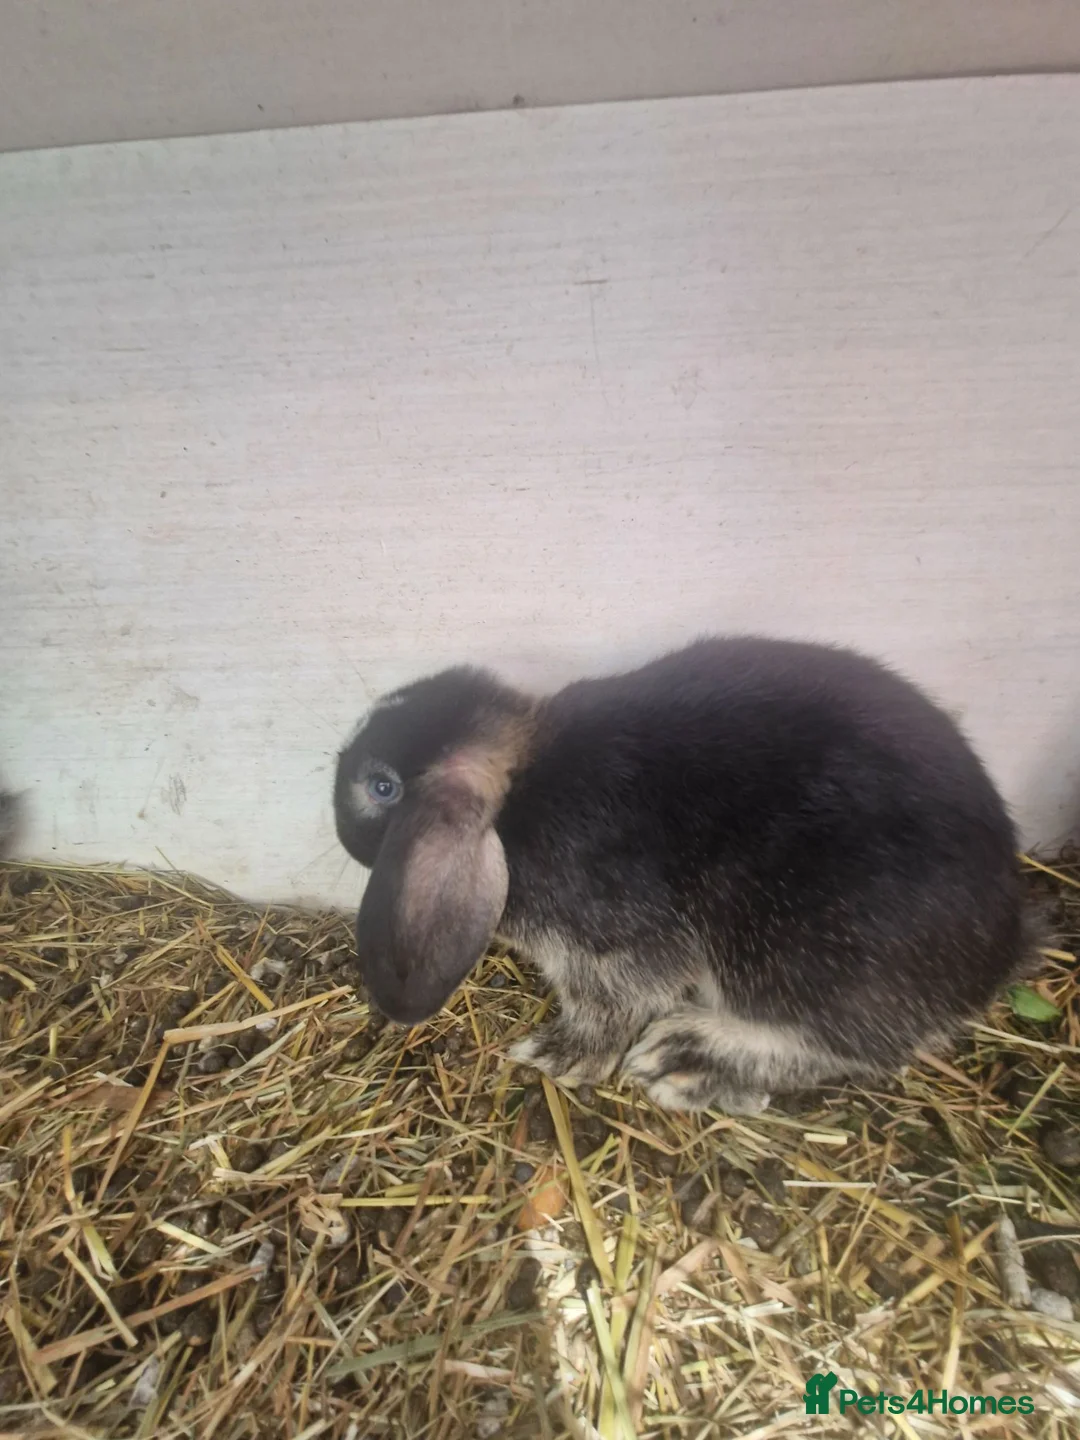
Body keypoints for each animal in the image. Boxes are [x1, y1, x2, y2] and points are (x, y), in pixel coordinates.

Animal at [333, 637, 1030, 1114]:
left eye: (381, 787)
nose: (337, 825)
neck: (522, 788)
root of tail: (1003, 953)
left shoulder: (609, 946)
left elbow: (613, 1004)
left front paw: (559, 1055)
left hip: (790, 955)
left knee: (845, 1047)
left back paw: (685, 1059)